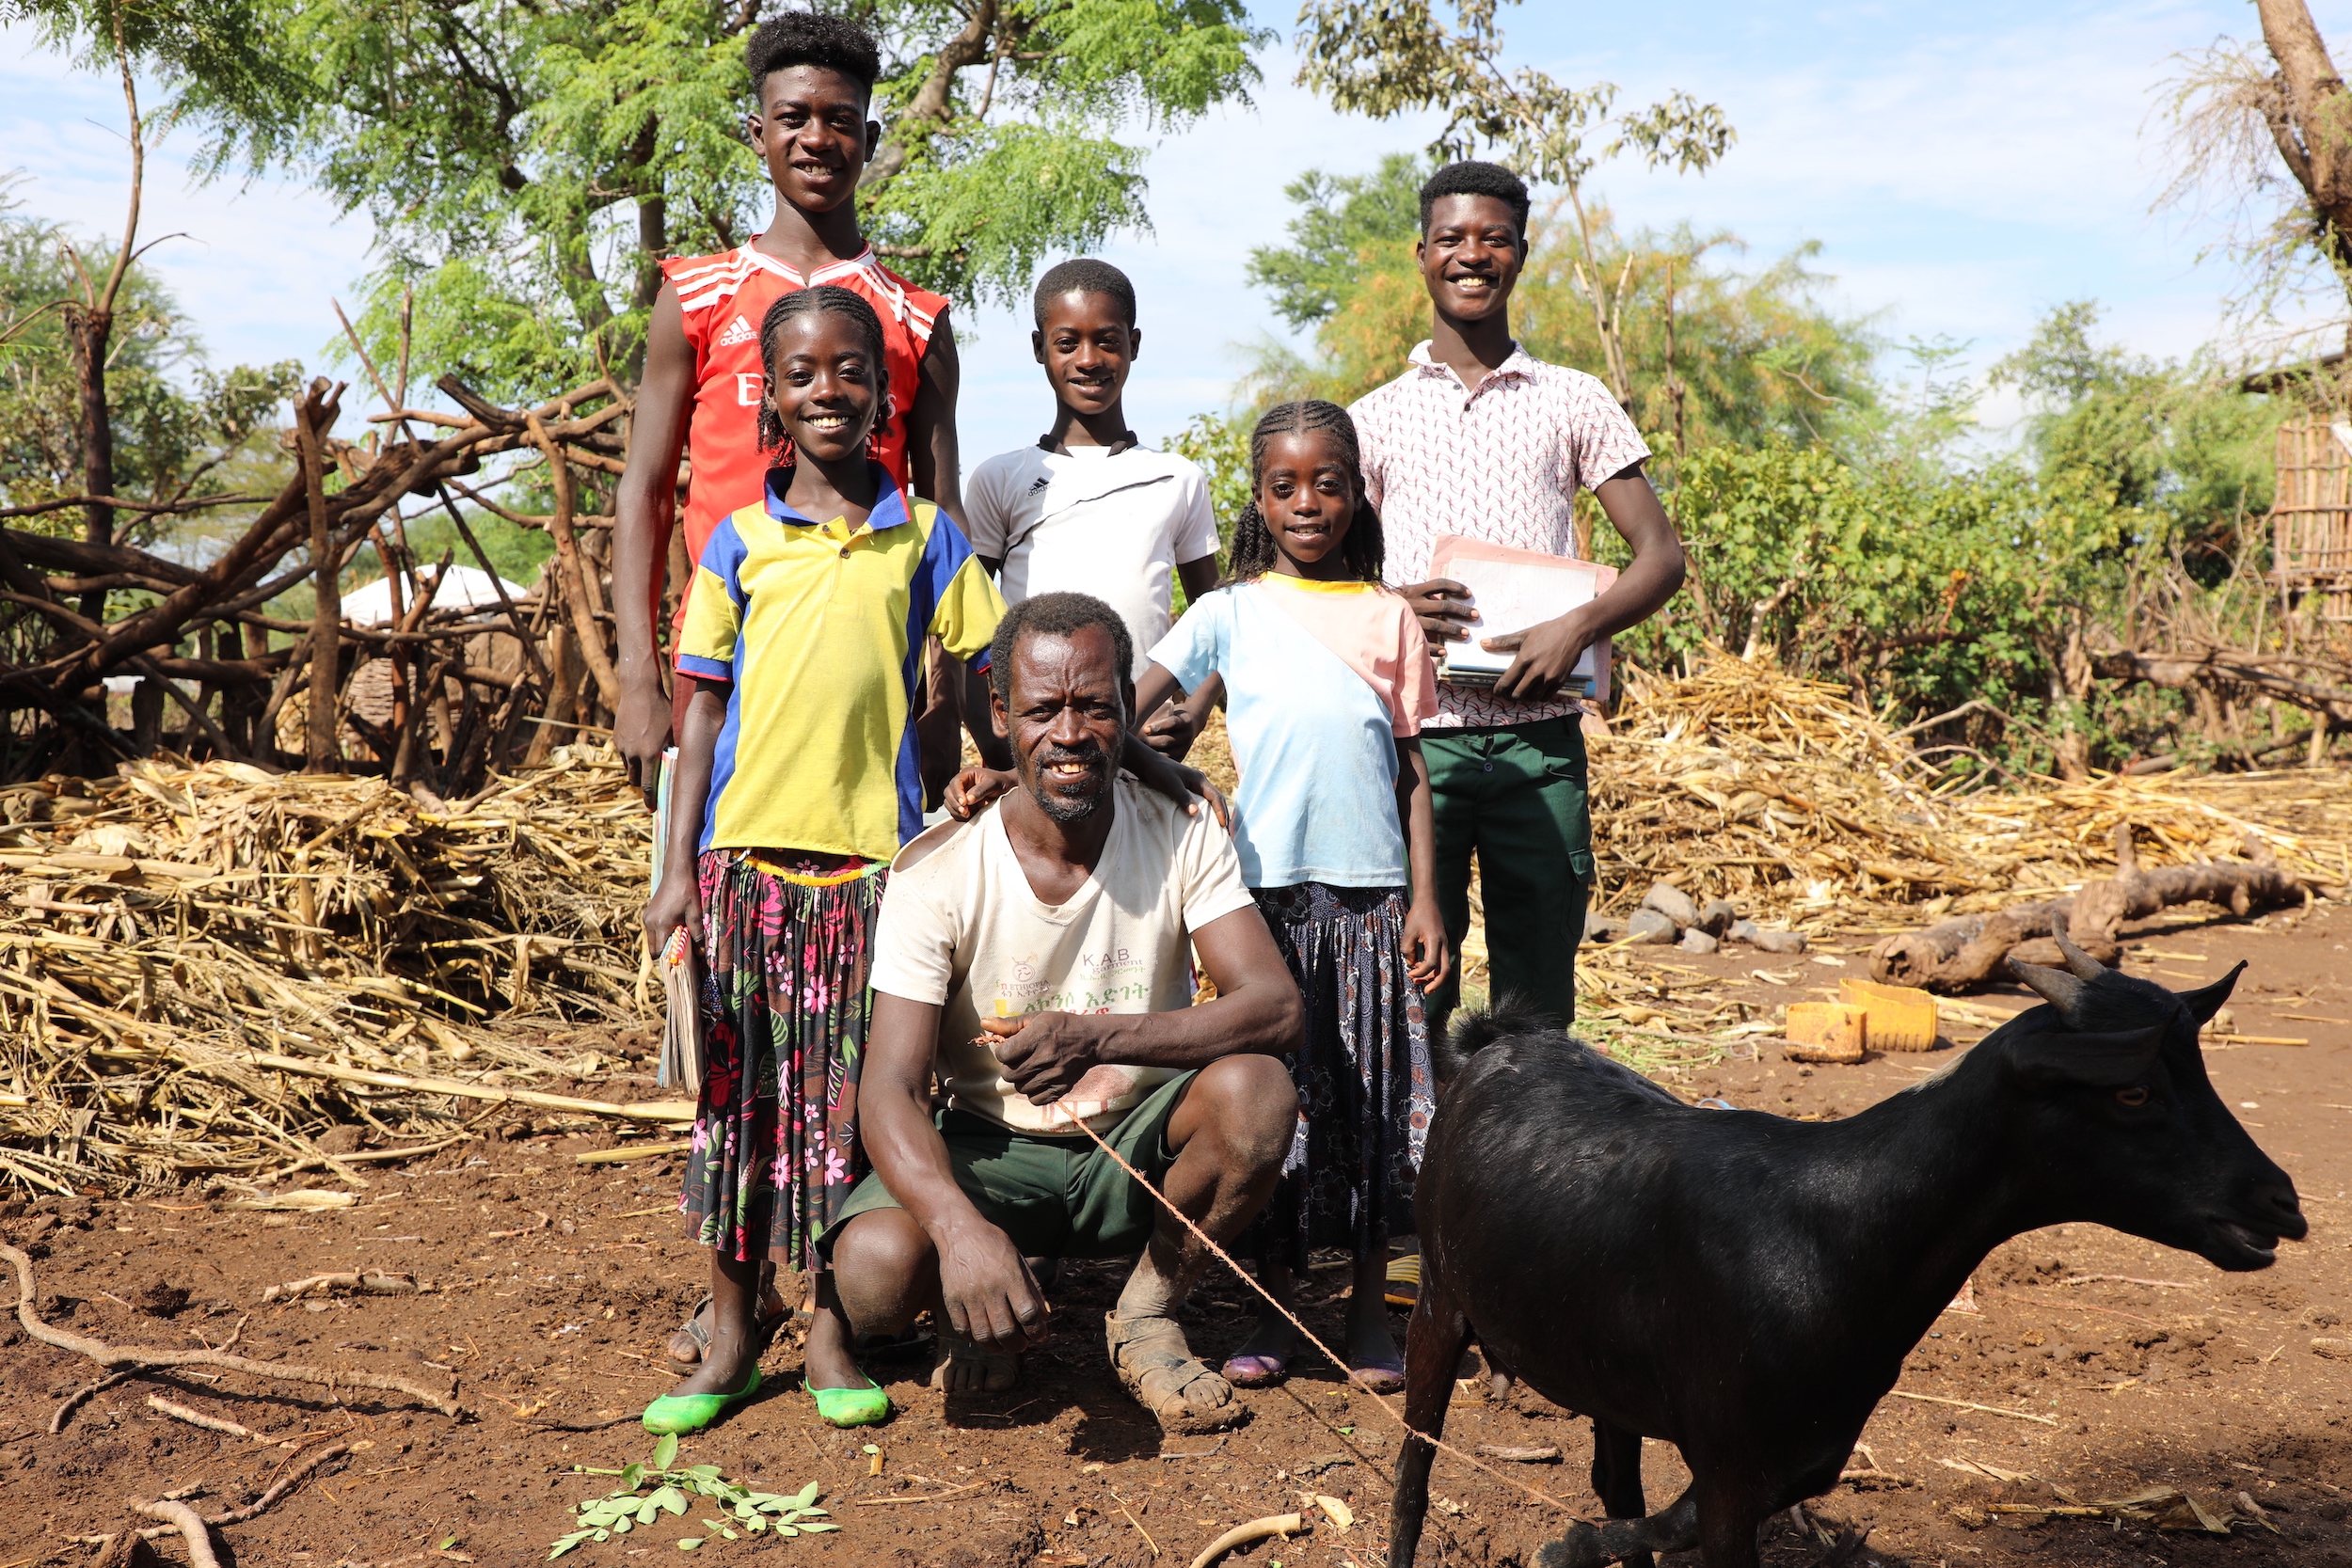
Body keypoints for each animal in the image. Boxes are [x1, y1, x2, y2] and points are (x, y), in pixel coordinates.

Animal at [1383, 940, 2305, 1568]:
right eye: (2133, 1090)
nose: (2280, 1201)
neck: (1835, 1228)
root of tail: (1495, 1043)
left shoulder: (1787, 1453)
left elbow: (1664, 1512)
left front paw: (1575, 1542)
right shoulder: (1733, 1466)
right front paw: (1567, 1544)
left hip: (1602, 1359)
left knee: (1615, 1470)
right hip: (1439, 1296)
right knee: (1415, 1463)